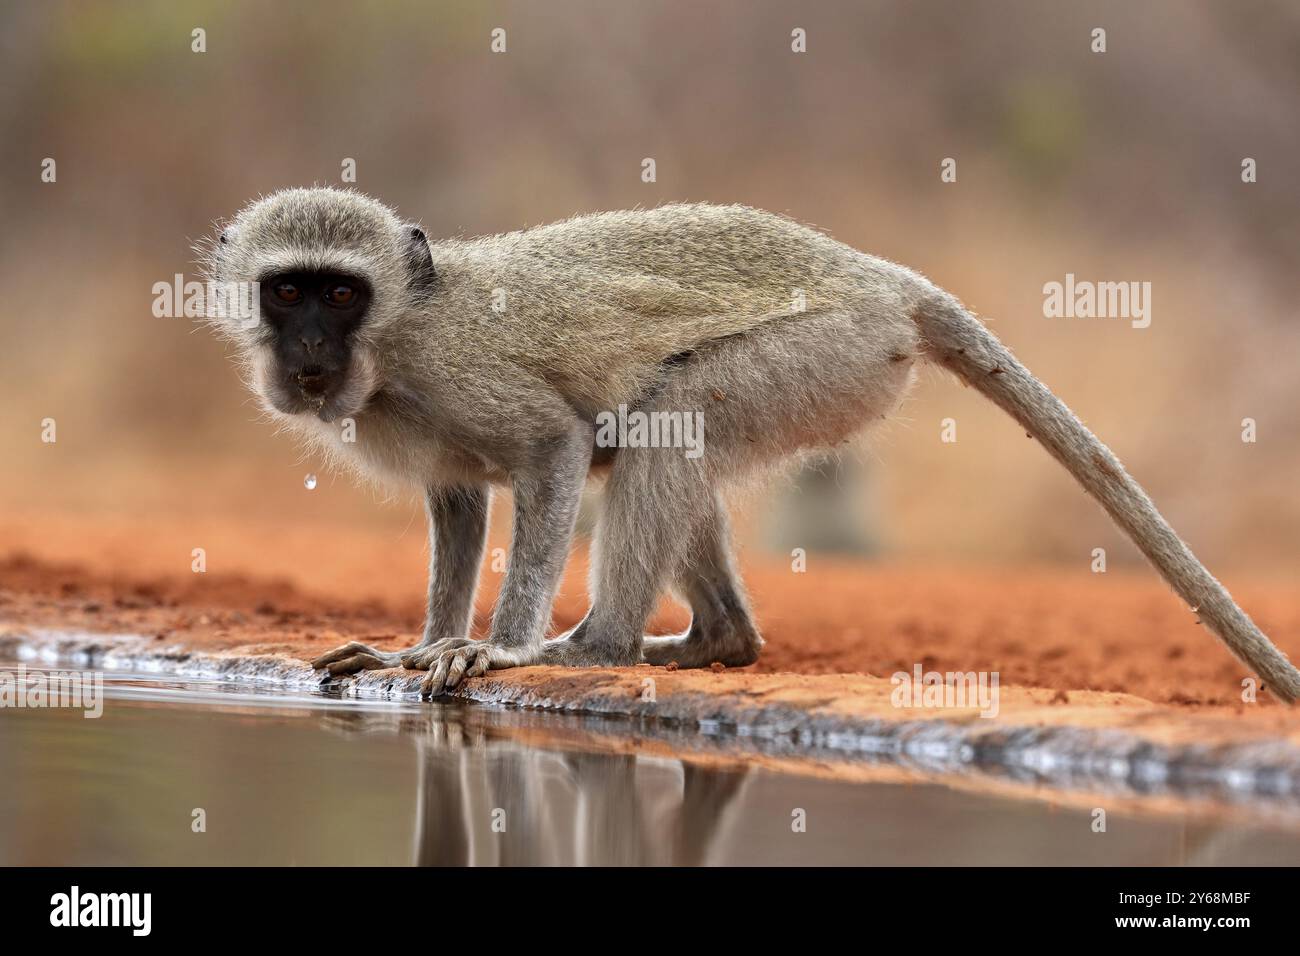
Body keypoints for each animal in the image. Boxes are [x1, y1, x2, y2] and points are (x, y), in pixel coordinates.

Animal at [200, 191, 1300, 707]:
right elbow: (459, 507)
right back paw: (714, 638)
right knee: (658, 438)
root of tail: (881, 278)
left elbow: (555, 447)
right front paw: (423, 641)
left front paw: (492, 645)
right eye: (287, 290)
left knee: (667, 413)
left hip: (835, 353)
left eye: (339, 292)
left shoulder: (467, 376)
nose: (307, 356)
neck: (394, 342)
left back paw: (594, 645)